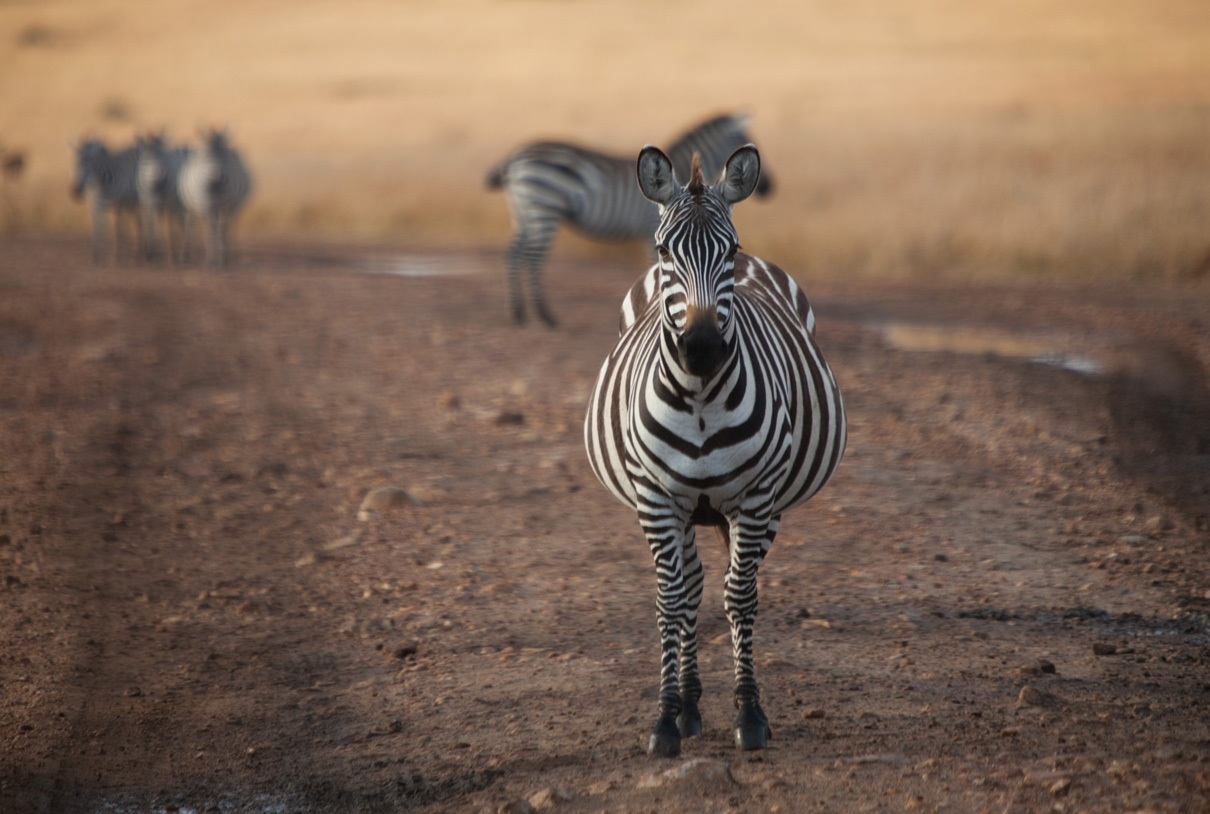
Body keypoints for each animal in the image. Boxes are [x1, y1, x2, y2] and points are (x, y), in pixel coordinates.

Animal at [137, 131, 193, 262]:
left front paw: (170, 257)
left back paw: (184, 253)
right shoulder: (146, 202)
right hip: (177, 205)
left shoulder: (167, 204)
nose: (156, 180)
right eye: (145, 159)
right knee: (182, 222)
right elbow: (149, 224)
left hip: (181, 203)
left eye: (162, 157)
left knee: (188, 224)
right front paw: (149, 253)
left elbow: (167, 227)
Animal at [176, 126, 252, 266]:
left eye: (224, 157)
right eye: (206, 157)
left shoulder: (225, 208)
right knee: (191, 225)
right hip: (191, 205)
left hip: (232, 209)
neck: (214, 190)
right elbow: (211, 229)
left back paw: (229, 254)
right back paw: (185, 255)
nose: (217, 177)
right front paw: (212, 260)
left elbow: (221, 229)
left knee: (228, 227)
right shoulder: (206, 207)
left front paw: (222, 258)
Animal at [484, 111, 774, 326]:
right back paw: (544, 314)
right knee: (532, 255)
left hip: (525, 211)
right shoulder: (651, 228)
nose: (770, 187)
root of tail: (515, 157)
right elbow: (654, 266)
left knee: (514, 252)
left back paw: (518, 312)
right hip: (543, 207)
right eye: (748, 139)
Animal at [580, 144, 847, 754]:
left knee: (726, 585)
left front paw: (750, 713)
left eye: (731, 248)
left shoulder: (755, 496)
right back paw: (689, 705)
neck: (700, 396)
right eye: (663, 250)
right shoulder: (657, 498)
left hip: (764, 506)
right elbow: (671, 602)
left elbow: (740, 597)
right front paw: (665, 718)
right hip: (679, 509)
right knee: (692, 588)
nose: (701, 348)